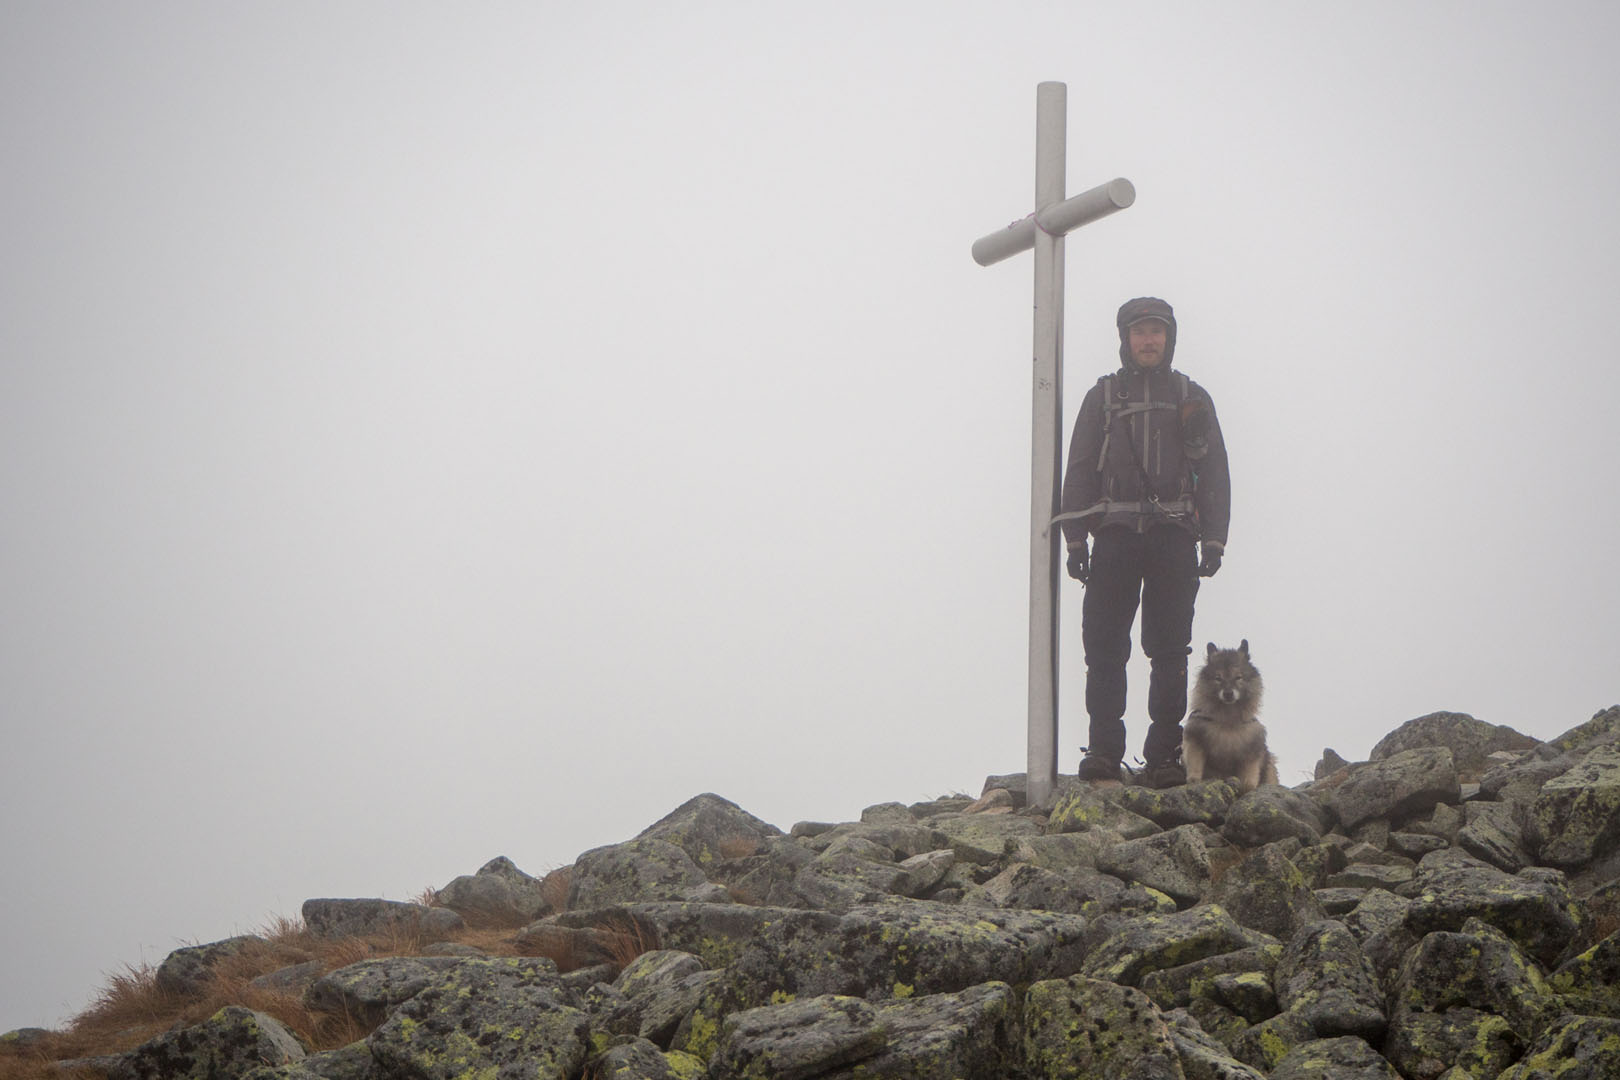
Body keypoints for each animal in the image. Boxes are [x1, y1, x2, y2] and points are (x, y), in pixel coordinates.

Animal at [1179, 641, 1276, 793]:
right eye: (1218, 678)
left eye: (1238, 677)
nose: (1228, 693)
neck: (1227, 720)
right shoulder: (1196, 740)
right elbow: (1195, 765)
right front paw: (1193, 780)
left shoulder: (1251, 753)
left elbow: (1249, 777)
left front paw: (1248, 787)